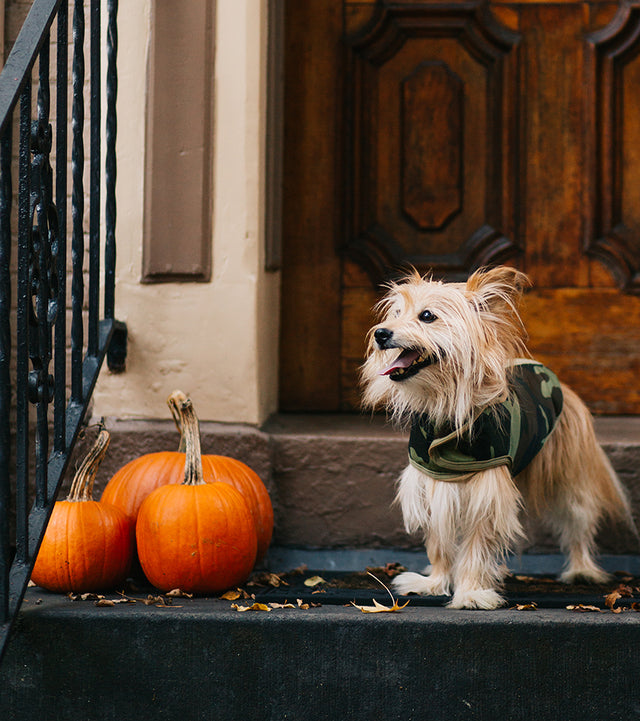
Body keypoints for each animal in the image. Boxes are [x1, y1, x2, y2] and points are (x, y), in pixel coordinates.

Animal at [362, 264, 632, 608]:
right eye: (396, 313)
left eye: (427, 316)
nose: (380, 334)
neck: (447, 408)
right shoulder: (432, 484)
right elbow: (439, 541)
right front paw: (435, 582)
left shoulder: (486, 491)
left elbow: (477, 545)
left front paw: (471, 592)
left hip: (569, 480)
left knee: (578, 523)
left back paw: (582, 568)